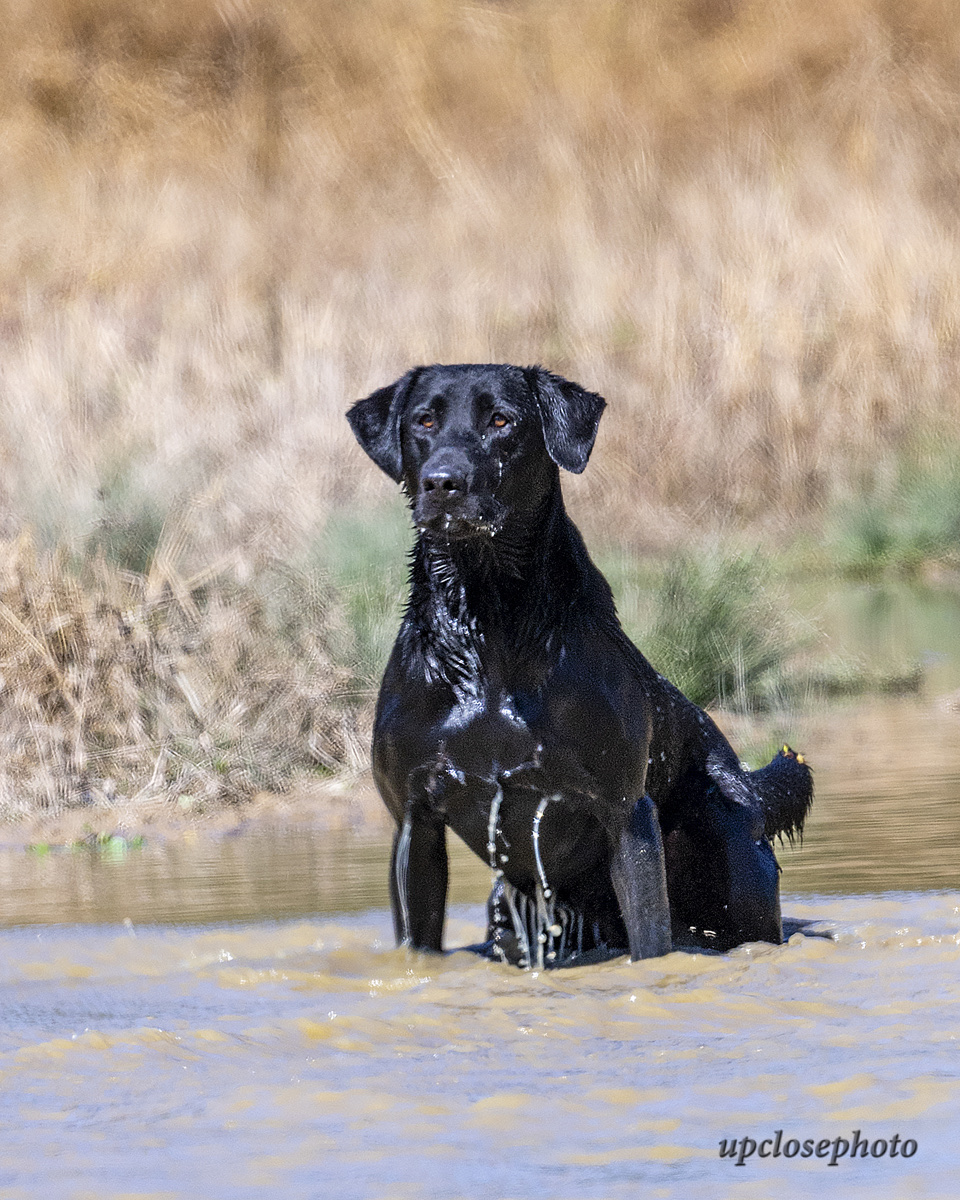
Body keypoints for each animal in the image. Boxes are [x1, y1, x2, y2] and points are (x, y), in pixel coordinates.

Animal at [345, 364, 811, 964]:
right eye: (424, 421)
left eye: (501, 421)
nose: (443, 482)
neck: (490, 623)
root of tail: (745, 783)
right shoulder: (414, 821)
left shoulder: (626, 815)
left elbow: (650, 943)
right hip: (509, 908)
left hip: (737, 873)